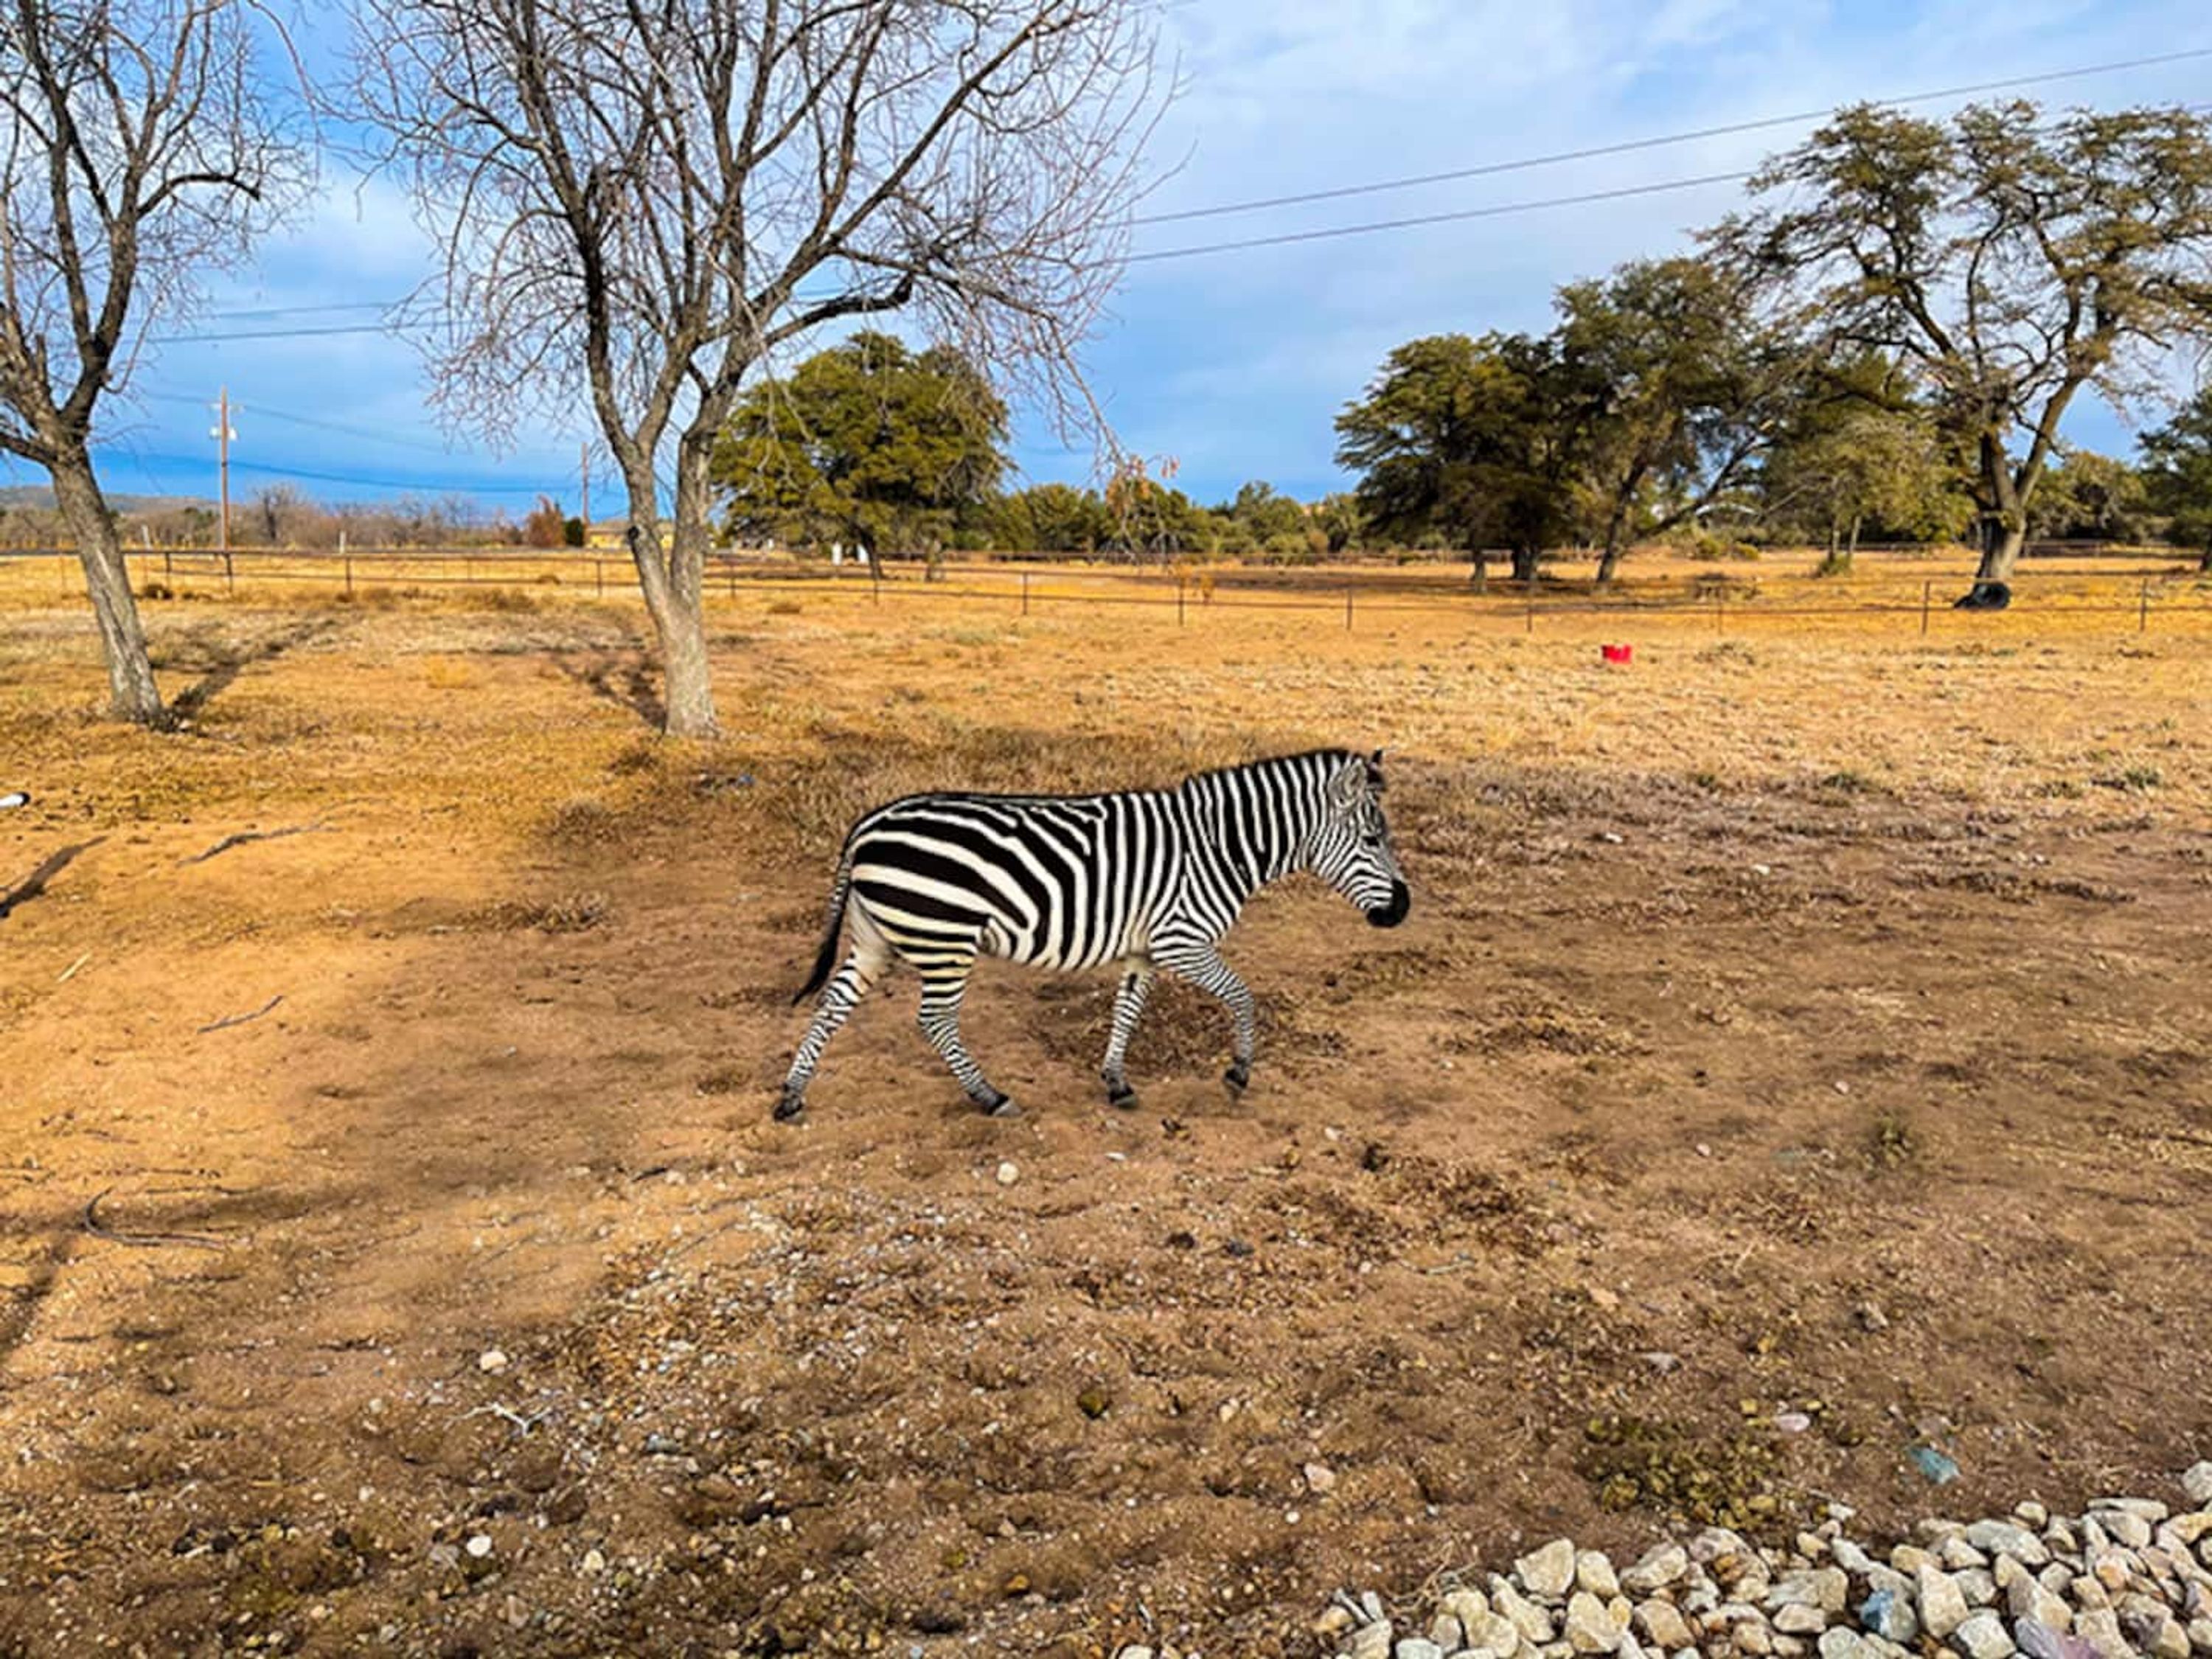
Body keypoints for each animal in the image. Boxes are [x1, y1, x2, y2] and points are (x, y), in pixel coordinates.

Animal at [776, 748, 1410, 1120]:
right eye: (1373, 840)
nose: (1402, 909)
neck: (1220, 846)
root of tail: (867, 825)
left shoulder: (1146, 949)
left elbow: (1127, 1011)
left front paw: (1116, 1083)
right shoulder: (1182, 939)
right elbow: (1242, 995)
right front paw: (1238, 1072)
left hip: (876, 939)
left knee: (834, 1005)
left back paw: (792, 1094)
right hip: (945, 938)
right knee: (933, 1020)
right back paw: (990, 1096)